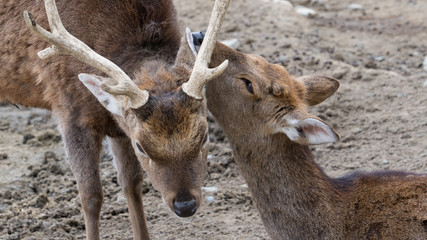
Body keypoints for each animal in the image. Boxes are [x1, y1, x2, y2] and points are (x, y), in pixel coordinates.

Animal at [0, 0, 231, 238]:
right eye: (140, 147)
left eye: (204, 137)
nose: (185, 206)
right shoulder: (69, 109)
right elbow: (91, 196)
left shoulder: (119, 127)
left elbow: (132, 184)